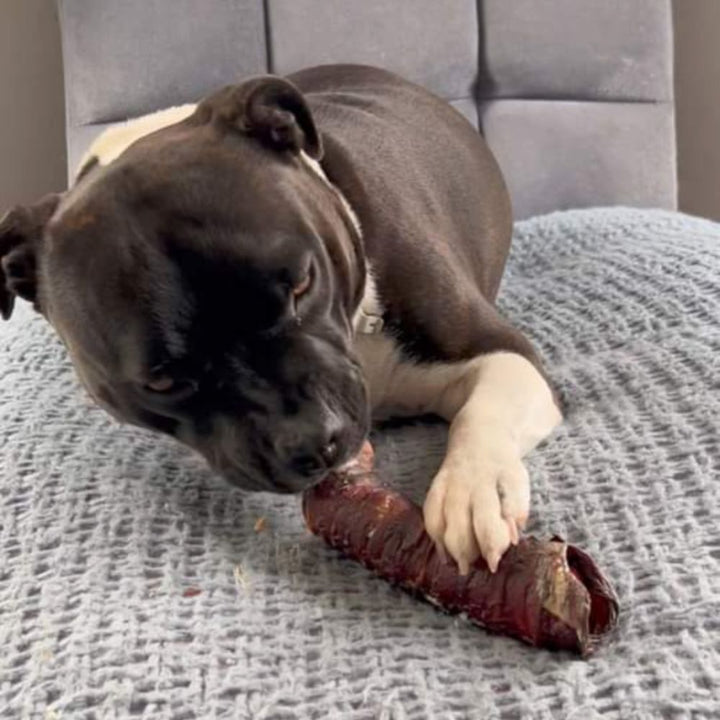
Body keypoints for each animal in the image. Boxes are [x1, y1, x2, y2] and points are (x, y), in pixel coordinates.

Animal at [1, 66, 564, 572]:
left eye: (302, 284)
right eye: (161, 382)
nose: (316, 440)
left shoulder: (502, 352)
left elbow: (482, 410)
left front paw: (474, 490)